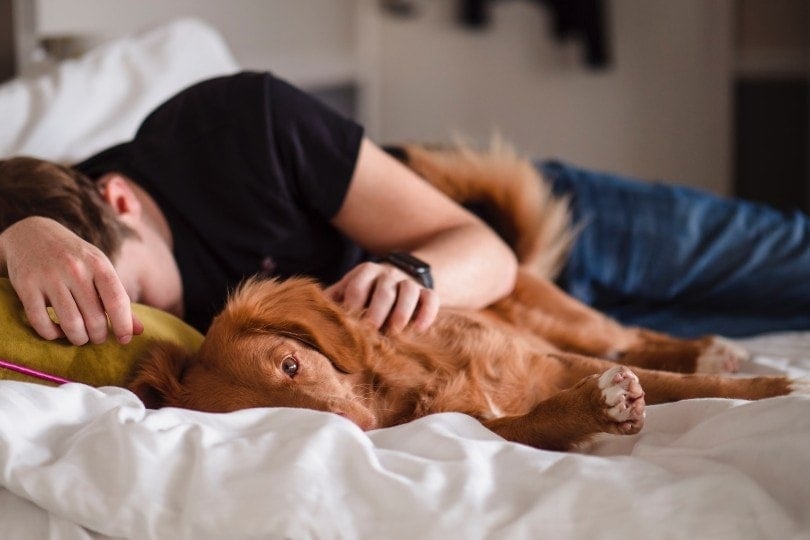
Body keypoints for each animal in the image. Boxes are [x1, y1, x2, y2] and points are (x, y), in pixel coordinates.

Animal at [128, 142, 808, 452]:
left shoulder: (549, 357)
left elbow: (688, 387)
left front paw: (777, 387)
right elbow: (538, 419)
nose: (360, 428)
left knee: (635, 336)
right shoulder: (482, 424)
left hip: (571, 323)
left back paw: (710, 349)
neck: (407, 382)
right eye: (273, 418)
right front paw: (597, 408)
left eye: (292, 365)